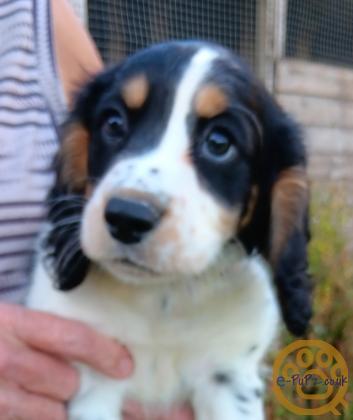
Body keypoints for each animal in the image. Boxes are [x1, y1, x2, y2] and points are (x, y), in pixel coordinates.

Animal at [27, 40, 310, 420]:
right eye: (113, 123)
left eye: (219, 142)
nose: (126, 218)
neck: (162, 297)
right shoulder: (94, 372)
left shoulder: (228, 374)